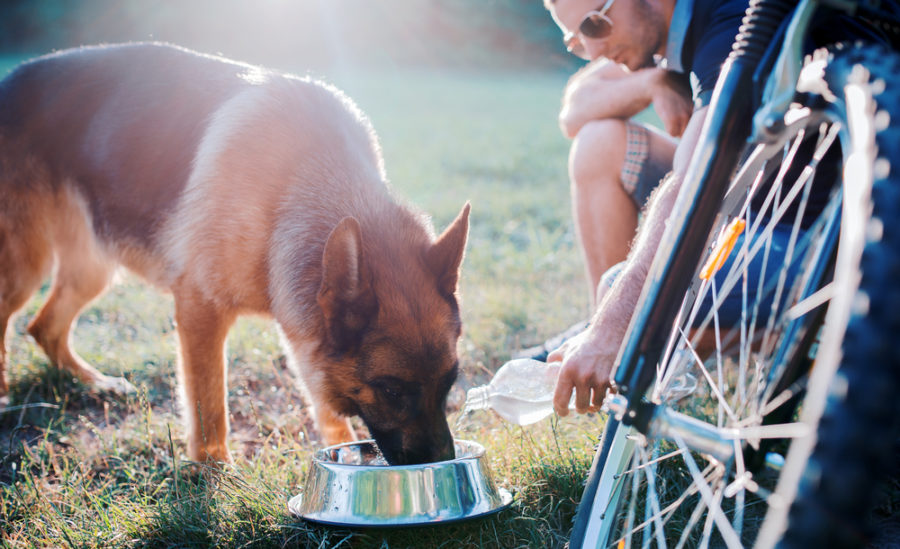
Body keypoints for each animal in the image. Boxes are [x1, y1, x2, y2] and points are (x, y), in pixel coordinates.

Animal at [0, 42, 468, 464]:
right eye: (391, 389)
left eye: (450, 381)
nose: (444, 461)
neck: (299, 181)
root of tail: (10, 81)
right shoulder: (200, 311)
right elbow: (209, 406)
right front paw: (215, 472)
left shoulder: (300, 327)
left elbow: (318, 395)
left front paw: (339, 443)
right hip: (25, 269)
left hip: (92, 270)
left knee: (44, 327)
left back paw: (95, 383)